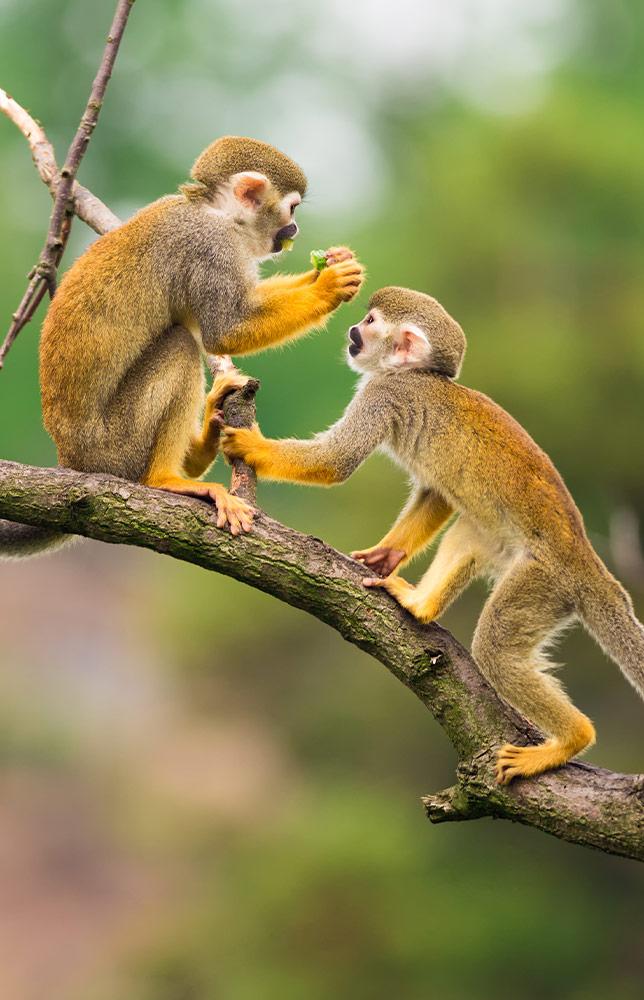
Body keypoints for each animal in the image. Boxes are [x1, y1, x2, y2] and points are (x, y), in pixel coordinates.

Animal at [0, 133, 364, 556]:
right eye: (291, 209)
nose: (294, 230)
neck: (215, 213)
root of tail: (71, 460)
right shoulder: (210, 248)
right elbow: (225, 330)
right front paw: (328, 286)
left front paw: (331, 265)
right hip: (116, 446)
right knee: (180, 345)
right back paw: (167, 479)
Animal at [221, 286, 644, 784]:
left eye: (369, 322)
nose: (352, 331)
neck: (415, 375)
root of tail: (589, 564)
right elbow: (437, 493)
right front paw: (387, 555)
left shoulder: (383, 395)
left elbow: (335, 462)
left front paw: (250, 444)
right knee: (470, 529)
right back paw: (422, 605)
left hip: (545, 582)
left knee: (496, 647)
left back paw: (570, 740)